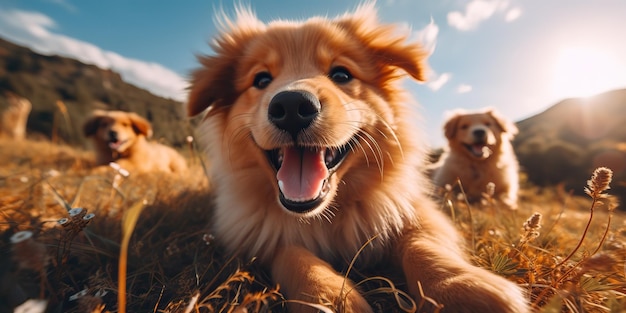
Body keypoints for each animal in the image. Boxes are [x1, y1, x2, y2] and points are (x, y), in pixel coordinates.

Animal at [186, 4, 528, 312]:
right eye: (260, 80)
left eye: (341, 74)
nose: (292, 106)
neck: (325, 216)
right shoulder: (259, 235)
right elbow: (293, 254)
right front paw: (326, 296)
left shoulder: (413, 210)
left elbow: (422, 244)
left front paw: (462, 288)